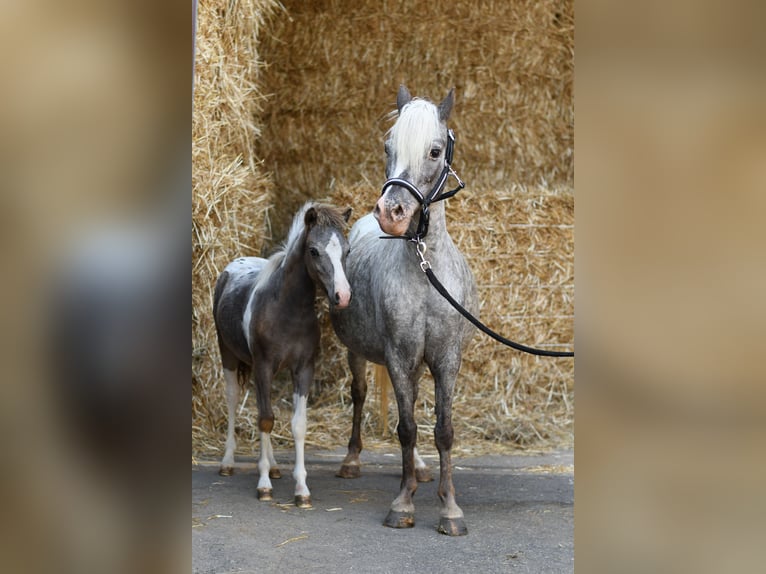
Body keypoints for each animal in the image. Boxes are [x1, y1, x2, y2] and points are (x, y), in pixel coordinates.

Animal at [213, 202, 352, 508]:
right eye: (314, 251)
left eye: (347, 250)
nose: (343, 296)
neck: (289, 311)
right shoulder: (263, 366)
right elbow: (265, 419)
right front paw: (264, 486)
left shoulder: (303, 369)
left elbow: (297, 424)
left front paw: (301, 489)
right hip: (228, 356)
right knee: (233, 401)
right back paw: (228, 463)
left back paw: (275, 466)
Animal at [330, 86, 478, 535]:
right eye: (387, 146)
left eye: (435, 150)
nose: (391, 213)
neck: (425, 273)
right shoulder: (398, 356)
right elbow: (407, 427)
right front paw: (402, 505)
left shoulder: (446, 359)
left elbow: (443, 430)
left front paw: (450, 510)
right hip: (359, 353)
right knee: (361, 395)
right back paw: (352, 461)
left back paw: (420, 469)